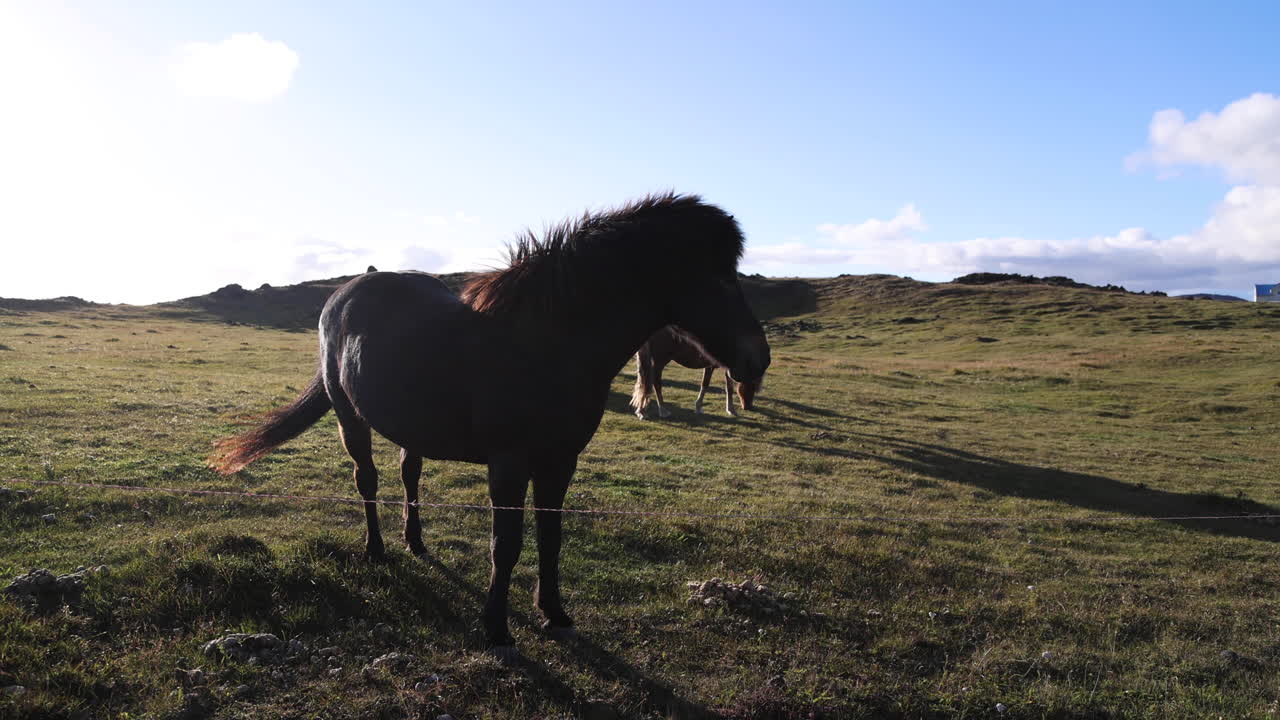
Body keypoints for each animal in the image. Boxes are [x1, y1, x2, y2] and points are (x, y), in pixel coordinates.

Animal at [630, 326, 760, 419]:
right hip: (660, 361)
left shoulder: (712, 366)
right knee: (655, 383)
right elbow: (718, 386)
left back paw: (642, 411)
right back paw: (662, 410)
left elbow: (713, 385)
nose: (748, 407)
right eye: (753, 387)